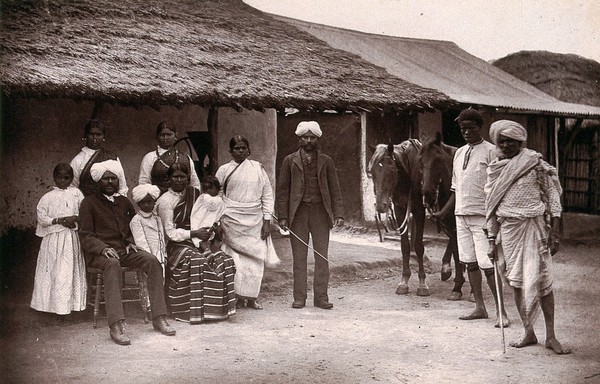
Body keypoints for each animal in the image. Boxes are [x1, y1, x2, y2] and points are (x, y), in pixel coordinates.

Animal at [368, 140, 428, 296]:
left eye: (391, 171)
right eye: (372, 172)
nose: (381, 206)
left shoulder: (420, 211)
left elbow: (418, 246)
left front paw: (422, 283)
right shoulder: (400, 210)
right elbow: (405, 246)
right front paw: (404, 281)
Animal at [420, 134, 466, 302]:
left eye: (438, 160)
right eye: (420, 161)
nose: (428, 195)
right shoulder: (451, 227)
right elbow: (457, 252)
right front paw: (457, 287)